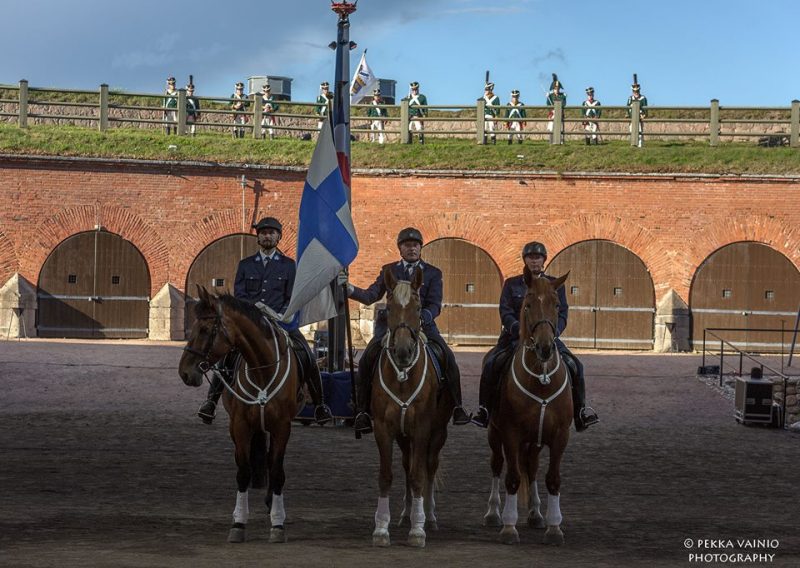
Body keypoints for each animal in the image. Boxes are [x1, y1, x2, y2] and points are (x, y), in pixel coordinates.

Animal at [178, 286, 304, 544]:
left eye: (204, 330)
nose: (184, 372)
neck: (262, 370)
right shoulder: (240, 425)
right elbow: (243, 472)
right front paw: (238, 523)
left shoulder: (282, 426)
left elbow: (277, 471)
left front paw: (278, 524)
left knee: (272, 462)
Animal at [370, 268, 454, 548]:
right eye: (389, 308)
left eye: (418, 308)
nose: (404, 351)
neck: (403, 375)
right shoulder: (384, 429)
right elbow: (387, 476)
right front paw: (381, 529)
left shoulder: (422, 429)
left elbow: (419, 476)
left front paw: (418, 531)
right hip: (403, 436)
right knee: (407, 465)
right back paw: (406, 514)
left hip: (437, 433)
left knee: (428, 466)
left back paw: (429, 516)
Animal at [482, 270, 576, 544]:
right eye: (528, 304)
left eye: (557, 305)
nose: (545, 347)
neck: (541, 379)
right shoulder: (511, 434)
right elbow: (512, 478)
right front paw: (509, 526)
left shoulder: (559, 436)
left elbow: (552, 479)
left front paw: (554, 528)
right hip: (494, 433)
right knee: (497, 465)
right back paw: (493, 513)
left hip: (535, 440)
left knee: (532, 468)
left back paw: (536, 513)